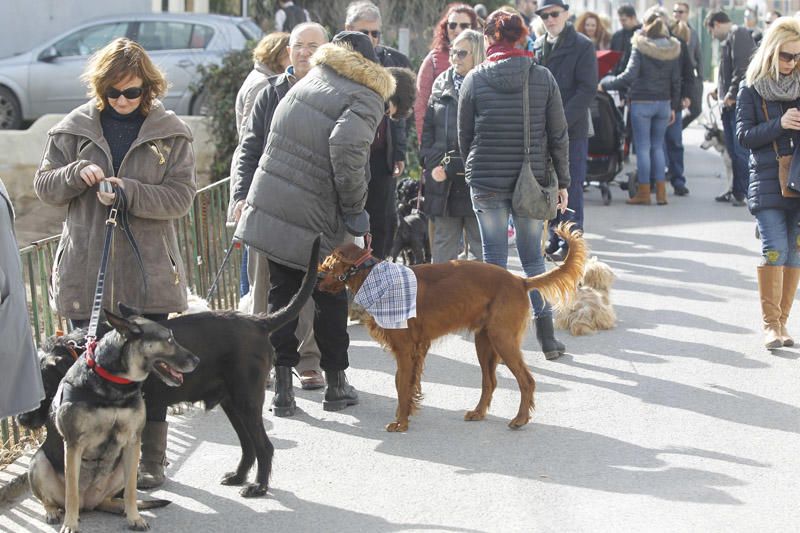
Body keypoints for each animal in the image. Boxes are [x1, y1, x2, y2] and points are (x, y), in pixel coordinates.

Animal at [19, 235, 318, 496]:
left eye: (43, 385)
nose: (21, 420)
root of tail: (259, 322)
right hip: (231, 403)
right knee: (249, 445)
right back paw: (239, 475)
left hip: (246, 400)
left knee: (264, 446)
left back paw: (258, 486)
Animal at [28, 310, 198, 528]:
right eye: (169, 339)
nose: (197, 360)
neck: (114, 384)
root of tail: (88, 504)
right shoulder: (73, 445)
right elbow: (71, 493)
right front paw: (70, 525)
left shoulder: (133, 441)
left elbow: (132, 491)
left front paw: (135, 517)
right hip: (38, 462)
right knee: (52, 500)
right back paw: (53, 512)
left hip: (123, 469)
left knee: (112, 498)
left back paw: (119, 508)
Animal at [318, 222, 588, 430]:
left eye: (329, 263)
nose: (317, 278)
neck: (374, 277)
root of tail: (519, 280)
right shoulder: (415, 350)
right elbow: (405, 384)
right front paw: (406, 415)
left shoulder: (405, 349)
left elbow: (401, 385)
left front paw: (400, 423)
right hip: (484, 341)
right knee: (490, 382)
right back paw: (478, 412)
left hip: (502, 339)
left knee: (526, 380)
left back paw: (520, 419)